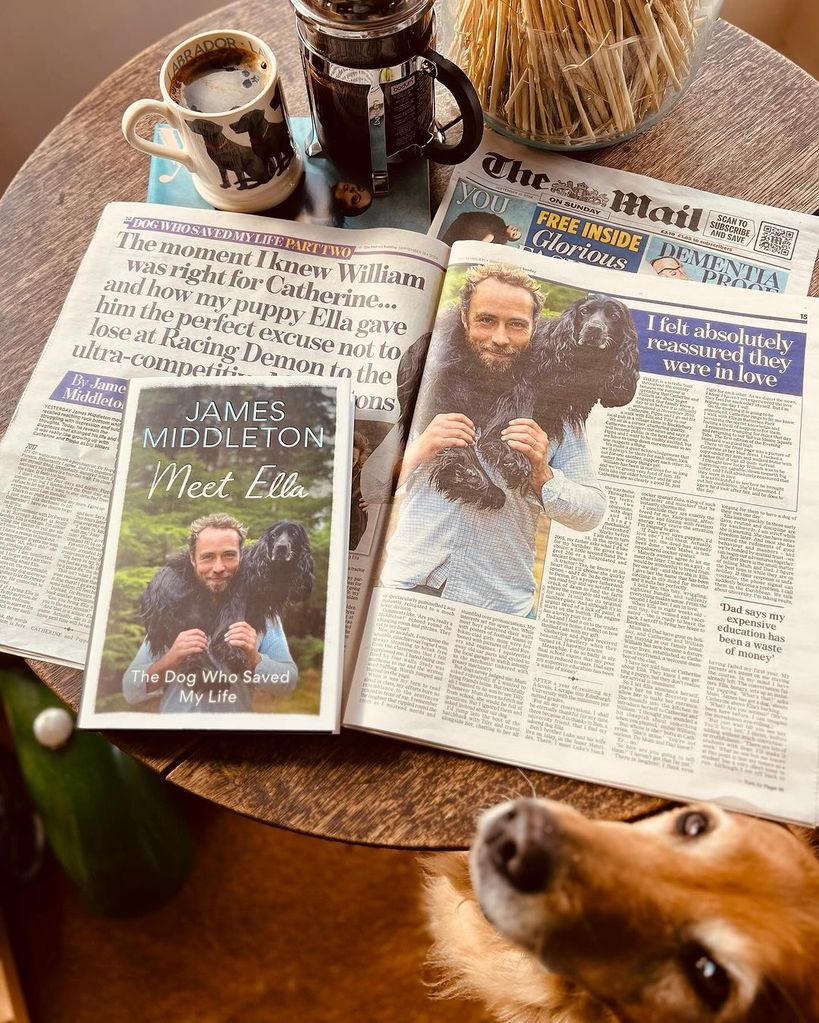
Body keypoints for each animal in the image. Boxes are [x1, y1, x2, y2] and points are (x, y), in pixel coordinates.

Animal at [141, 519, 312, 679]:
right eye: (274, 535)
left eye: (294, 534)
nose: (281, 548)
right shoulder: (237, 595)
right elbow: (232, 620)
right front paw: (232, 652)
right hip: (190, 610)